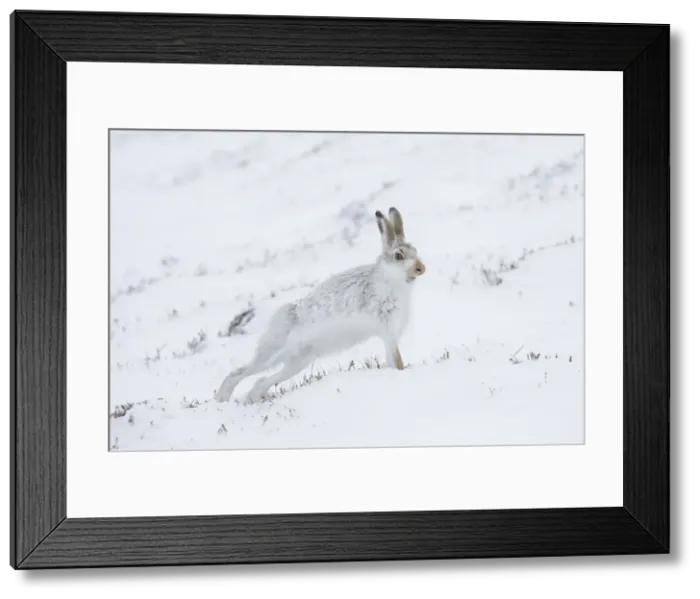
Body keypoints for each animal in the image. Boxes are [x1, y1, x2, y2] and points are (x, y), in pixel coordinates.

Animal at [214, 206, 426, 404]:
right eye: (398, 256)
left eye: (416, 251)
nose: (421, 268)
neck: (393, 282)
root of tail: (278, 316)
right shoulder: (387, 330)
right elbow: (396, 360)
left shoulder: (389, 336)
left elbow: (392, 359)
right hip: (273, 351)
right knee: (238, 373)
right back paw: (222, 398)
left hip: (298, 360)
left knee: (261, 381)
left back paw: (254, 399)